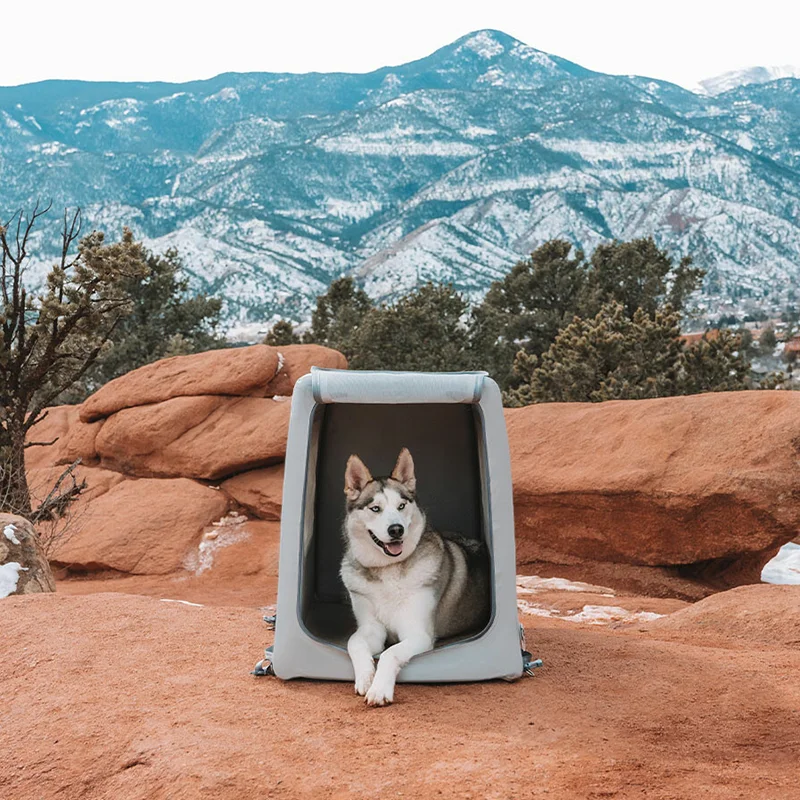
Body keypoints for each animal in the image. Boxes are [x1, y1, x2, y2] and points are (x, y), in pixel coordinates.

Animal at [338, 450, 488, 708]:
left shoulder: (418, 633)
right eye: (375, 508)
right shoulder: (371, 628)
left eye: (401, 506)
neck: (388, 570)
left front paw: (380, 689)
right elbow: (354, 643)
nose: (396, 529)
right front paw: (366, 677)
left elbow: (390, 653)